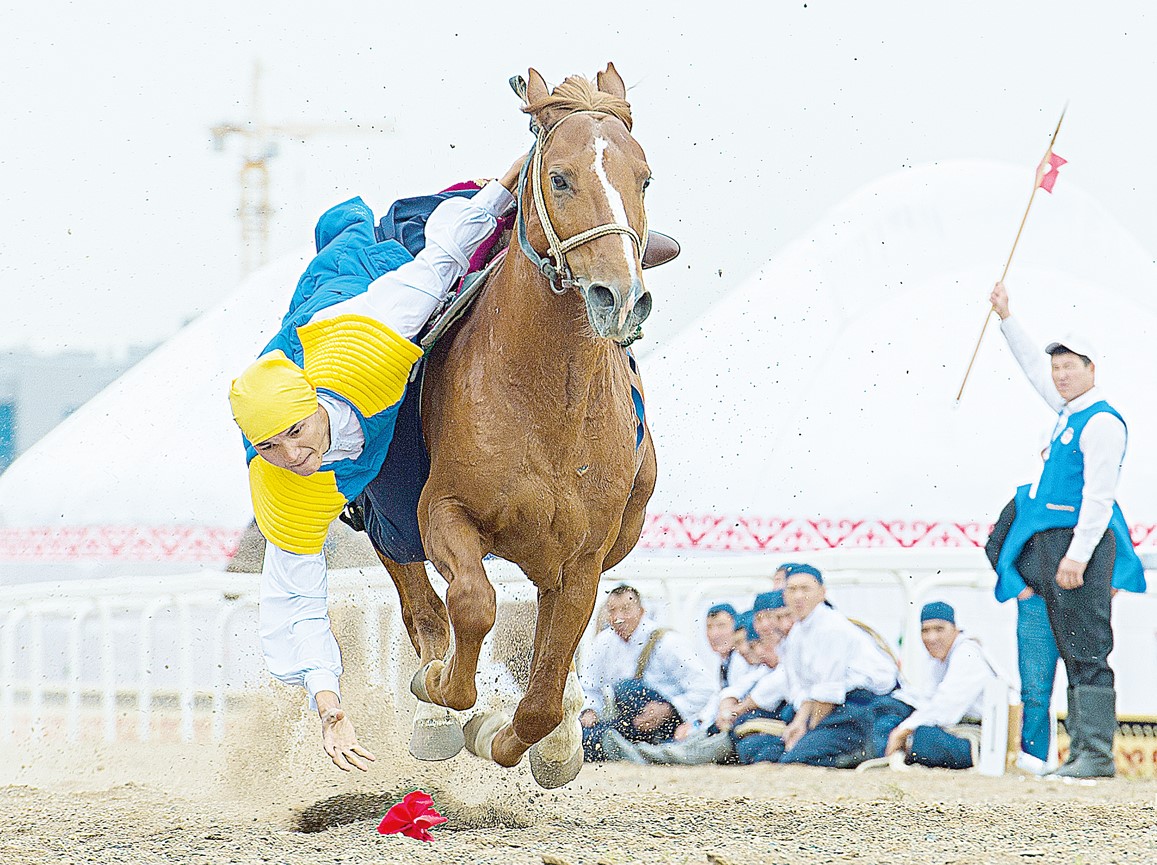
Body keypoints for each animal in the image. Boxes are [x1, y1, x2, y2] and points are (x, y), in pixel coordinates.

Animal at [377, 64, 652, 786]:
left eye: (644, 177)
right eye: (559, 177)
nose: (621, 296)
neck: (544, 397)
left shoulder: (582, 556)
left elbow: (546, 683)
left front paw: (527, 737)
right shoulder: (441, 508)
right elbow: (472, 602)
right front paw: (446, 694)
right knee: (420, 598)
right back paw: (434, 710)